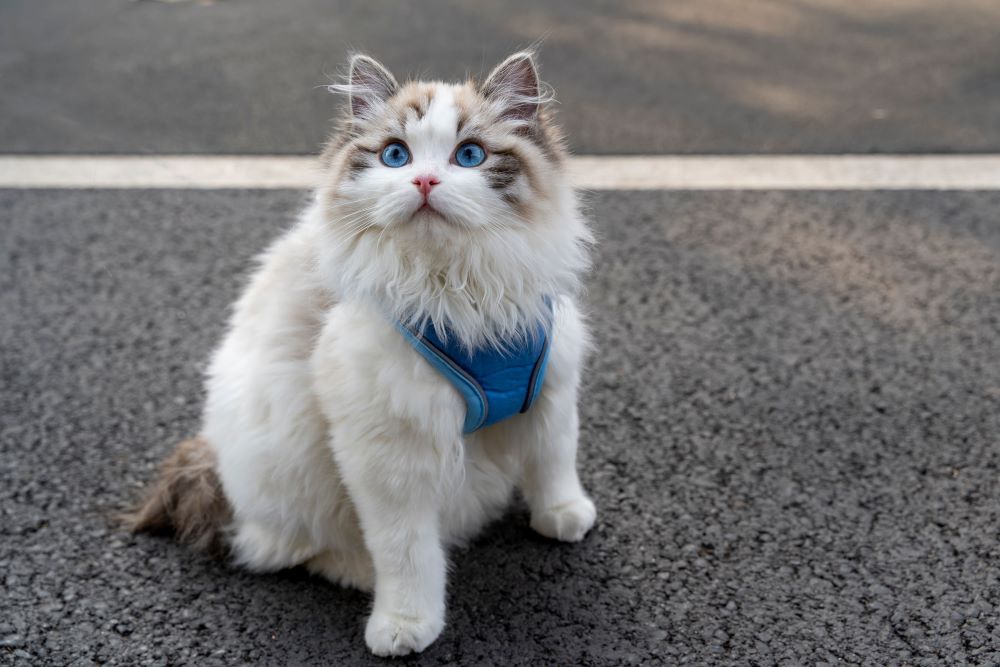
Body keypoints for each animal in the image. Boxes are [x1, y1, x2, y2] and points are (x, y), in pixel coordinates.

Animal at [124, 52, 592, 656]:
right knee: (289, 549)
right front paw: (404, 625)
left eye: (470, 155)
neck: (458, 292)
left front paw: (564, 517)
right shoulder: (389, 454)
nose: (424, 180)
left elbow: (554, 462)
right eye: (396, 156)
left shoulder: (550, 388)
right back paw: (364, 573)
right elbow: (406, 552)